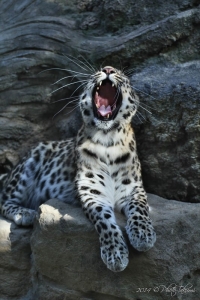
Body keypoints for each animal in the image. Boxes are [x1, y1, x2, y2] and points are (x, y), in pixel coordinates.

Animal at [0, 65, 156, 272]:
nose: (108, 69)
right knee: (4, 201)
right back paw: (25, 213)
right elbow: (104, 221)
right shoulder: (92, 192)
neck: (108, 140)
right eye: (101, 69)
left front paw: (143, 235)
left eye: (124, 77)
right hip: (29, 164)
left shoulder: (133, 188)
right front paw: (115, 253)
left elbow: (140, 208)